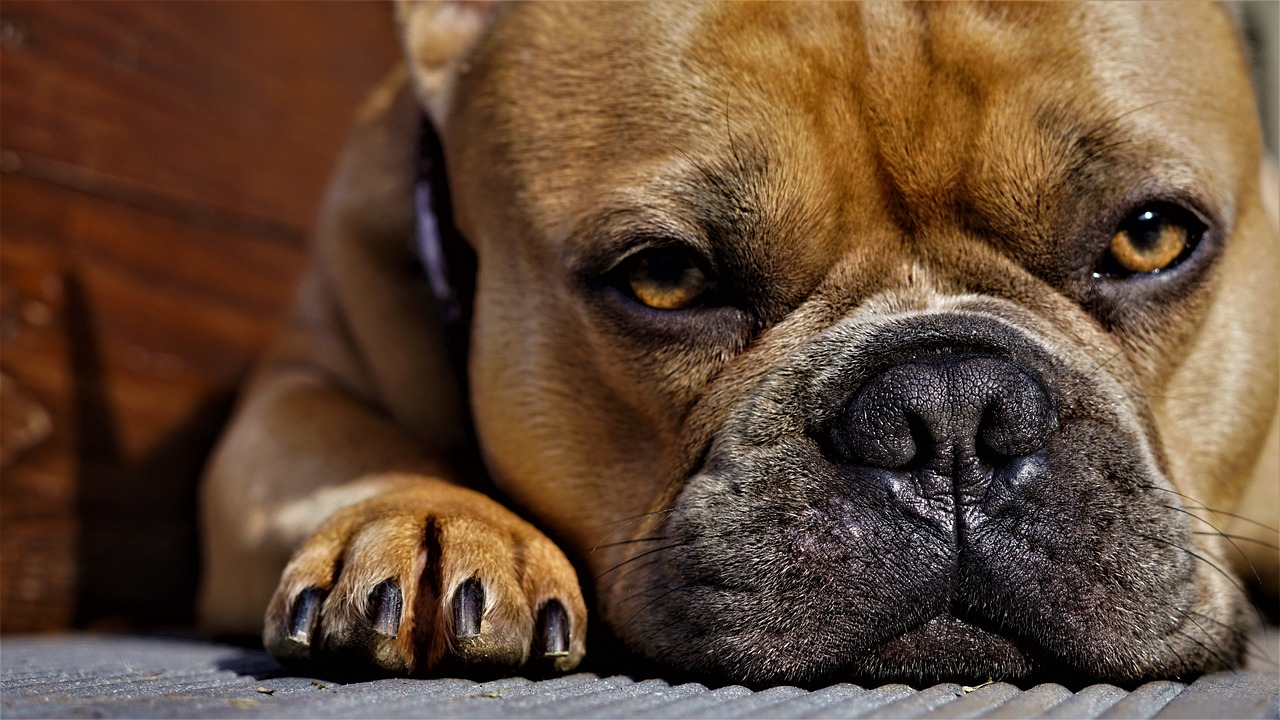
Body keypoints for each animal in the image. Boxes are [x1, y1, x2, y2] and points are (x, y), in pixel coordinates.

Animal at [194, 0, 1274, 681]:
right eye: (664, 276)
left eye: (1149, 237)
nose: (950, 411)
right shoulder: (290, 397)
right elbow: (340, 439)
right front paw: (429, 524)